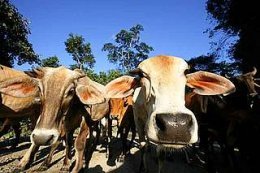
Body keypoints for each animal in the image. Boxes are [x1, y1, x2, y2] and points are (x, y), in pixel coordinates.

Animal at [104, 55, 236, 173]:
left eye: (186, 73)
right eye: (141, 75)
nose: (176, 126)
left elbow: (161, 155)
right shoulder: (138, 121)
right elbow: (143, 146)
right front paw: (142, 167)